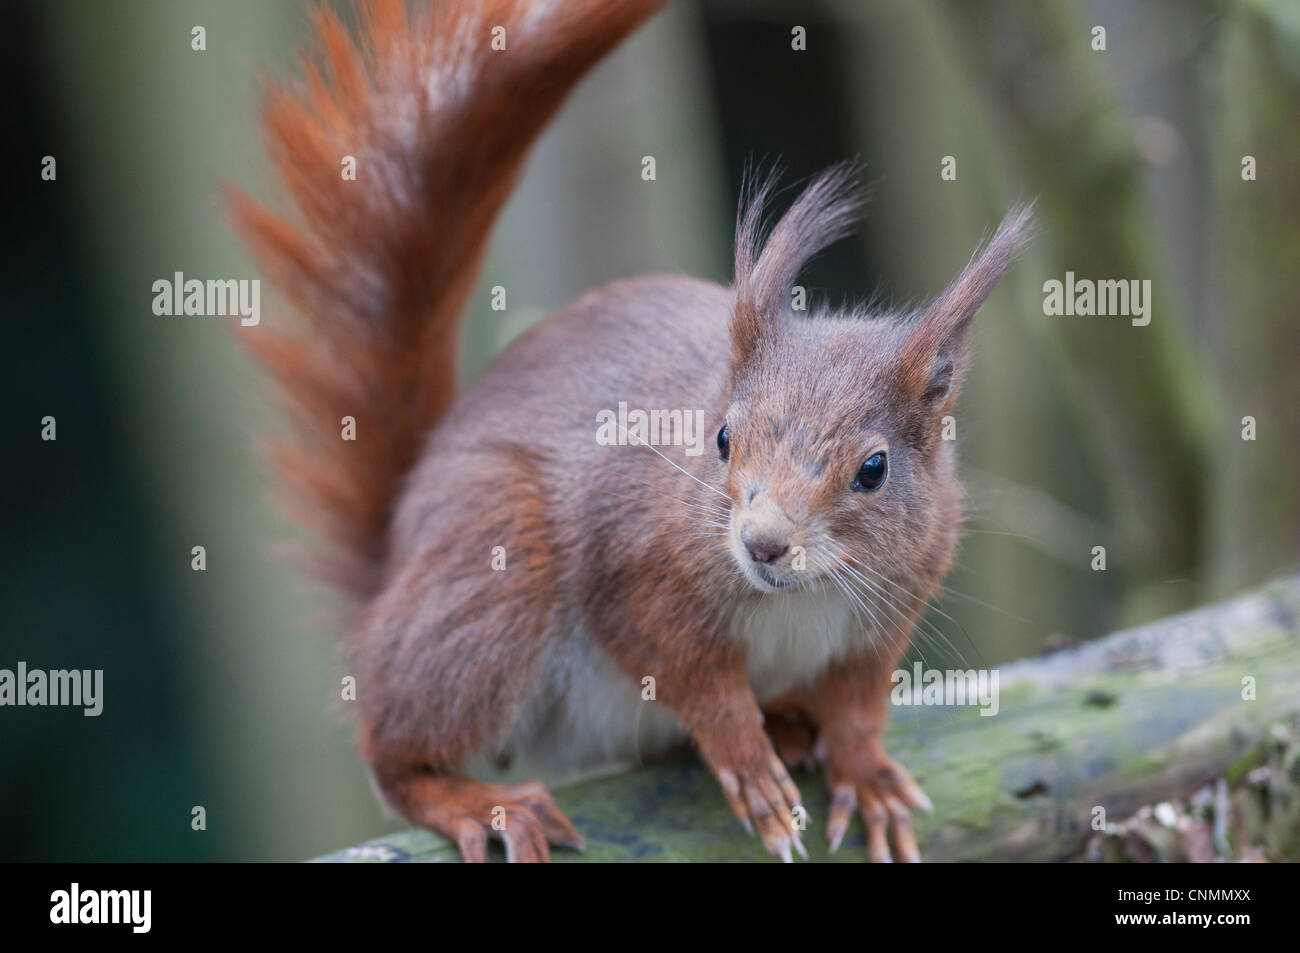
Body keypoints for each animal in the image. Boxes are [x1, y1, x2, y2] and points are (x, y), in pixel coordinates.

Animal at [231, 0, 1024, 863]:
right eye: (722, 437)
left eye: (874, 469)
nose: (763, 543)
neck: (800, 593)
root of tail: (395, 556)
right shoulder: (631, 567)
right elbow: (691, 677)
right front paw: (748, 761)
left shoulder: (893, 602)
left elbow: (858, 703)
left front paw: (867, 772)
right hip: (493, 566)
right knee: (394, 747)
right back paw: (477, 801)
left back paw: (786, 723)